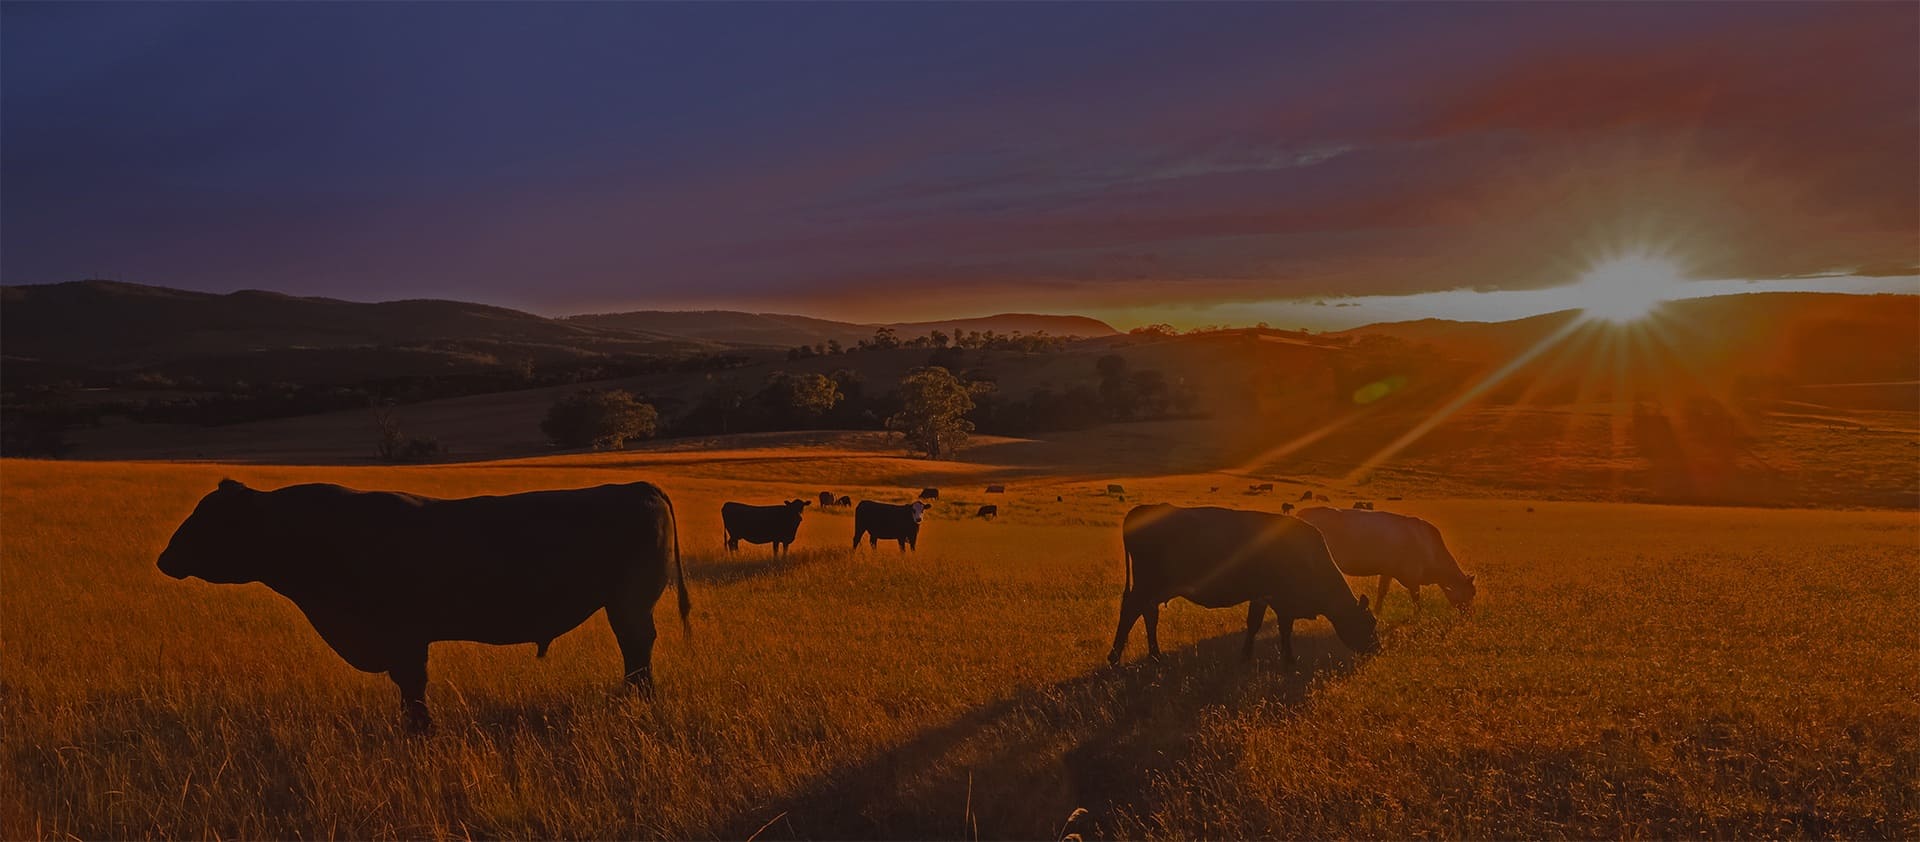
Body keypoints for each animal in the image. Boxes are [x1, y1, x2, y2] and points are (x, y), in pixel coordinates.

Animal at [157, 479, 688, 733]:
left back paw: (638, 701)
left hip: (629, 606)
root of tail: (638, 487)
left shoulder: (403, 637)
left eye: (211, 519)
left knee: (637, 654)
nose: (164, 558)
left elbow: (413, 689)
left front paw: (421, 731)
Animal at [1111, 504, 1379, 667]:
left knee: (1149, 615)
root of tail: (1143, 509)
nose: (1377, 650)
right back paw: (1114, 657)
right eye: (1369, 623)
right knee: (1130, 612)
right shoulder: (1279, 599)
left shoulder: (1261, 596)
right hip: (1146, 585)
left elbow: (1254, 625)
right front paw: (1288, 660)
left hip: (1155, 589)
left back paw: (1155, 655)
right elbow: (1282, 628)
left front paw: (1246, 657)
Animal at [1292, 506, 1476, 612]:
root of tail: (1302, 513)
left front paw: (1377, 611)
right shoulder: (1413, 576)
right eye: (1472, 593)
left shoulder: (1387, 571)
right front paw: (1418, 615)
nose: (1468, 616)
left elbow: (1382, 591)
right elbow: (1416, 598)